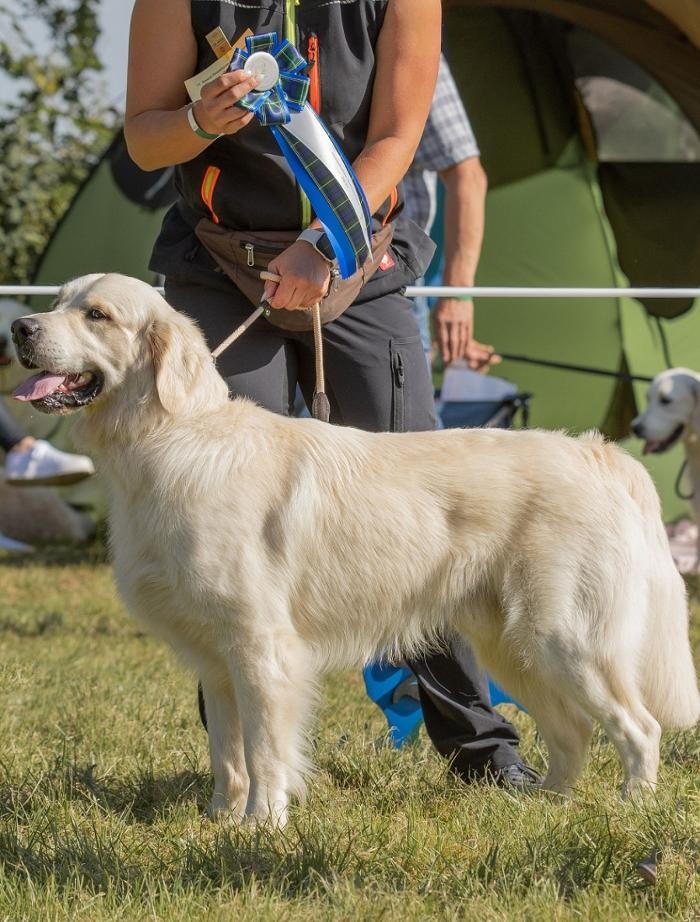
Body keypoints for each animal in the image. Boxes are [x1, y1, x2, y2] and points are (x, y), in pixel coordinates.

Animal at [12, 274, 700, 828]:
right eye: (56, 299)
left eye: (97, 314)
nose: (19, 327)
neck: (169, 439)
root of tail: (600, 454)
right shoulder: (215, 660)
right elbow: (227, 755)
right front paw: (217, 821)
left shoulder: (262, 648)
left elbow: (264, 752)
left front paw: (261, 826)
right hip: (516, 646)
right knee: (573, 732)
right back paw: (545, 806)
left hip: (566, 639)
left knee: (639, 728)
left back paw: (630, 807)